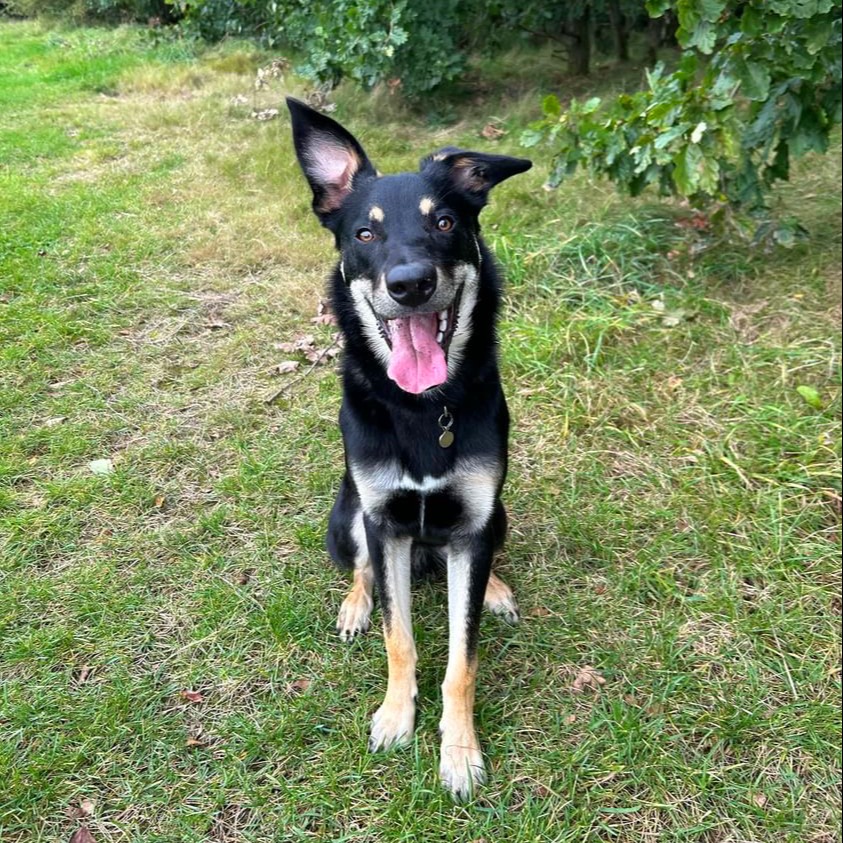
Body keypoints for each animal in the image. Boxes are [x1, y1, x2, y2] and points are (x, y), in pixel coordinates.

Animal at [286, 99, 532, 796]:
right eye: (364, 235)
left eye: (444, 222)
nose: (410, 283)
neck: (424, 408)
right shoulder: (384, 522)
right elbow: (400, 638)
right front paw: (396, 716)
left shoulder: (474, 521)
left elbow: (461, 659)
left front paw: (460, 750)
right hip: (346, 516)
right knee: (363, 570)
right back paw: (355, 606)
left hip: (496, 517)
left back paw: (495, 588)